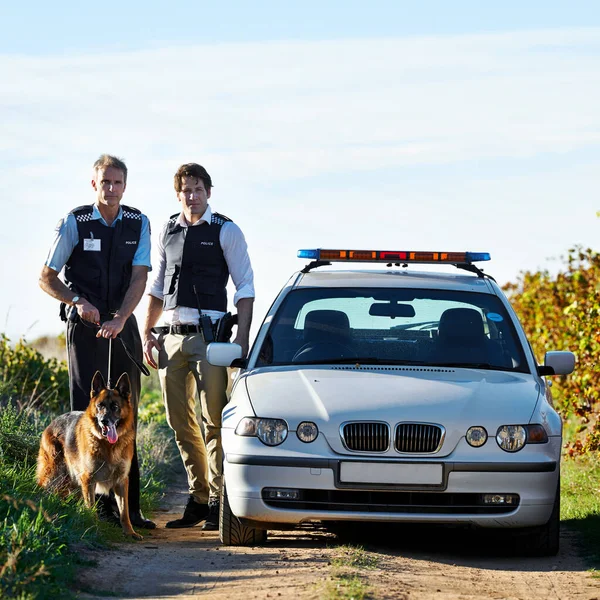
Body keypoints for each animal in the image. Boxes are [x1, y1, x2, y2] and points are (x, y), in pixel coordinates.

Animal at [37, 370, 142, 540]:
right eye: (100, 406)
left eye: (115, 406)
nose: (104, 421)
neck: (108, 446)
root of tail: (52, 422)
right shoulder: (88, 479)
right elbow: (91, 507)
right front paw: (94, 528)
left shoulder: (121, 481)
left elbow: (124, 512)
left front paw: (130, 532)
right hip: (54, 474)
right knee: (44, 488)